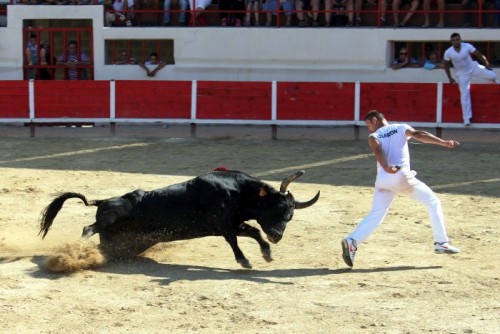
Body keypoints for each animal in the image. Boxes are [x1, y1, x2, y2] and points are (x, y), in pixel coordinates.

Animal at [40, 171, 320, 268]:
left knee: (102, 243)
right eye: (277, 207)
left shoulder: (228, 224)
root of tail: (104, 200)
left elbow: (252, 231)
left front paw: (266, 254)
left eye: (290, 215)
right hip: (108, 221)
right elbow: (236, 239)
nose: (277, 236)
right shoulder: (223, 224)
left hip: (123, 238)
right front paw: (244, 260)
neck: (238, 191)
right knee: (88, 227)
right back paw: (79, 248)